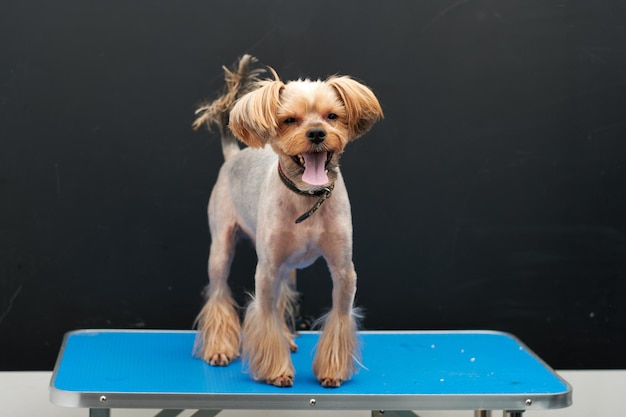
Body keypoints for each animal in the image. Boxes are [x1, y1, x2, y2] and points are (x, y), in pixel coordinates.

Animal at [193, 55, 382, 386]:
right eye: (290, 120)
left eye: (332, 116)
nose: (317, 133)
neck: (307, 196)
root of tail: (233, 155)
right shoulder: (266, 270)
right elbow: (265, 317)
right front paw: (276, 370)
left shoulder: (343, 269)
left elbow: (339, 316)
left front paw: (332, 370)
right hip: (222, 248)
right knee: (217, 293)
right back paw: (218, 348)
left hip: (286, 266)